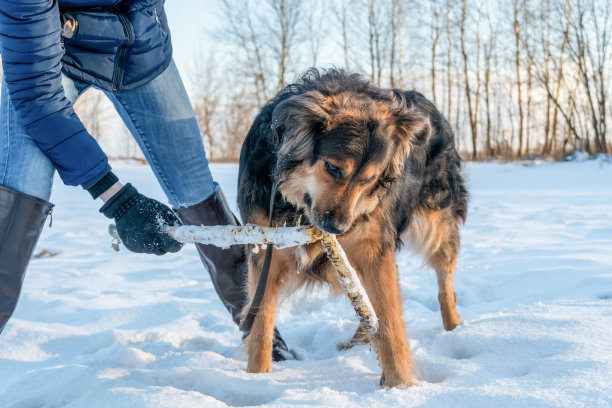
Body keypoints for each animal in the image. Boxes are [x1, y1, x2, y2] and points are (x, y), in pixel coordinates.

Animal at [237, 70, 466, 388]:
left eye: (368, 179)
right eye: (333, 168)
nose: (338, 228)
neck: (299, 207)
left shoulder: (373, 248)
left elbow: (391, 322)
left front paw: (400, 387)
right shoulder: (266, 247)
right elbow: (260, 323)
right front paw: (256, 381)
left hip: (437, 225)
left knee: (444, 284)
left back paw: (453, 328)